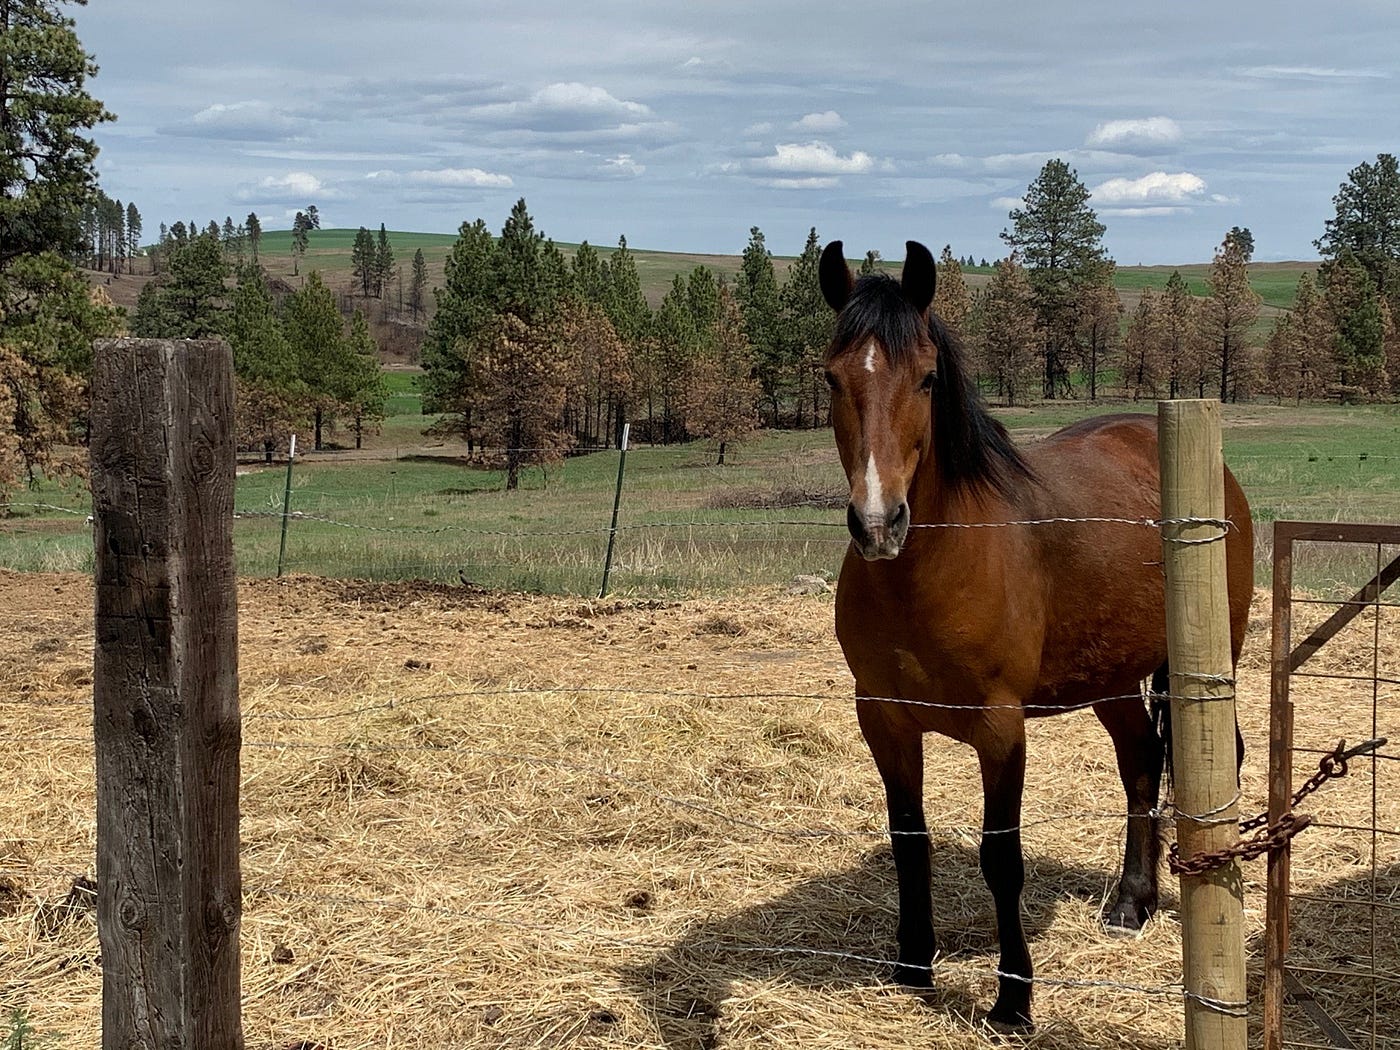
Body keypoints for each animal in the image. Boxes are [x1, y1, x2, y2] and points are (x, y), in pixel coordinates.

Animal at [817, 236, 1254, 1030]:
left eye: (927, 378)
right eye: (831, 377)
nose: (877, 522)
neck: (932, 567)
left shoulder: (1000, 729)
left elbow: (1001, 859)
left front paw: (1012, 999)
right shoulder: (883, 719)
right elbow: (909, 840)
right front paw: (912, 967)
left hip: (1209, 659)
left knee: (1214, 757)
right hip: (1112, 677)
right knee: (1141, 763)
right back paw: (1131, 902)